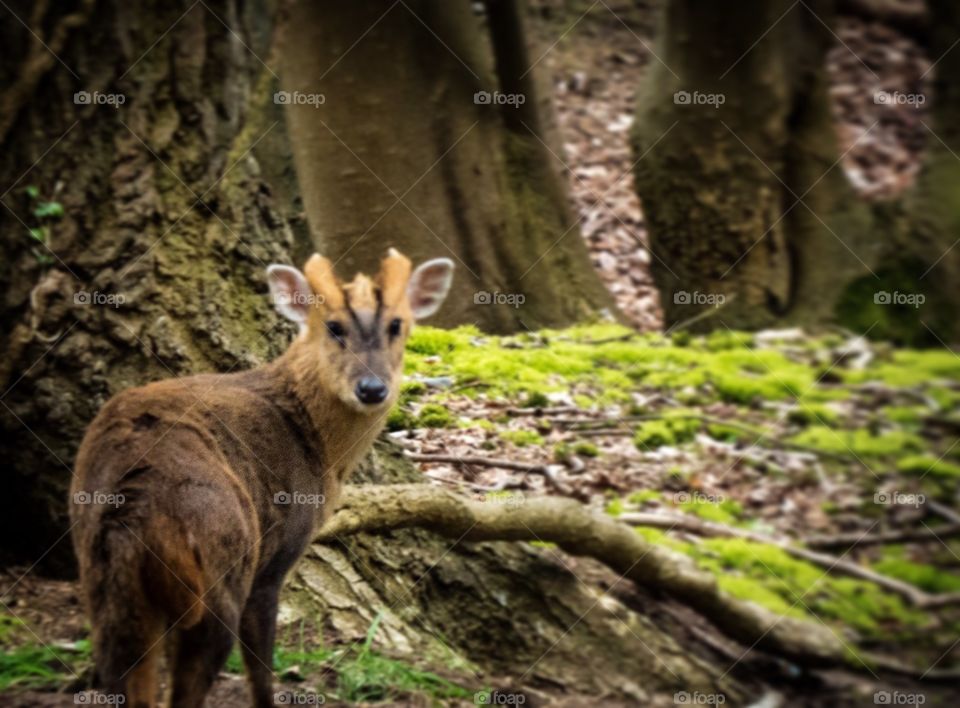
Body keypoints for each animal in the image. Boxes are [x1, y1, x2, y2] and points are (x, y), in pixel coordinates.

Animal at [71, 252, 454, 708]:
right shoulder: (275, 556)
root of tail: (134, 504)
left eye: (398, 324)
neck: (321, 450)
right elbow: (261, 671)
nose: (372, 388)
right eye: (333, 326)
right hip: (221, 569)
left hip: (107, 585)